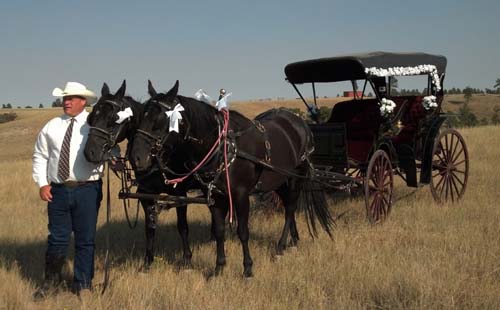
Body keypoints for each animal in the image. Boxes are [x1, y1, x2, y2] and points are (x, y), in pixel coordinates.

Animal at [84, 81, 197, 270]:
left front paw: (187, 259)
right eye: (91, 117)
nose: (89, 153)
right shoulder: (146, 193)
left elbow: (182, 226)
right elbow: (149, 228)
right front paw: (147, 261)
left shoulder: (180, 193)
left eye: (113, 119)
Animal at [129, 81, 334, 278]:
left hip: (294, 179)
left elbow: (243, 231)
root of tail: (300, 123)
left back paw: (281, 247)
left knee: (290, 209)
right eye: (142, 116)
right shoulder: (215, 196)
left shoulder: (241, 194)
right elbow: (219, 231)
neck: (222, 146)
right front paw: (219, 267)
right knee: (288, 209)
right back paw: (294, 241)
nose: (136, 157)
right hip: (279, 182)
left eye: (162, 119)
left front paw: (248, 268)